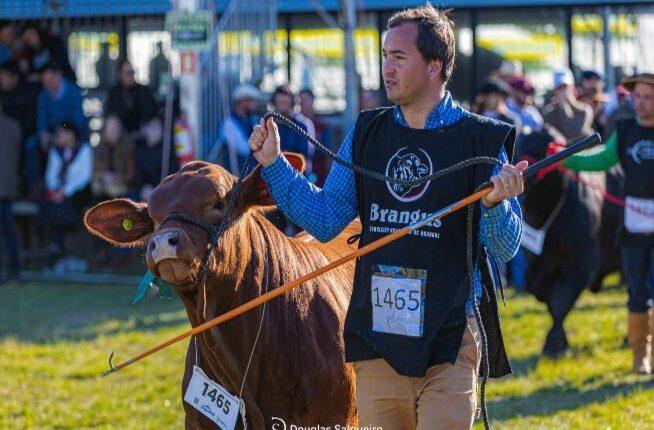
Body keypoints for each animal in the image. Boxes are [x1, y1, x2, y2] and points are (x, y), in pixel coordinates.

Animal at [520, 131, 624, 360]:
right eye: (516, 146)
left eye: (545, 147)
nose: (526, 177)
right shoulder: (536, 267)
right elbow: (551, 303)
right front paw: (561, 343)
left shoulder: (581, 262)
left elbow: (561, 301)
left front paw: (553, 345)